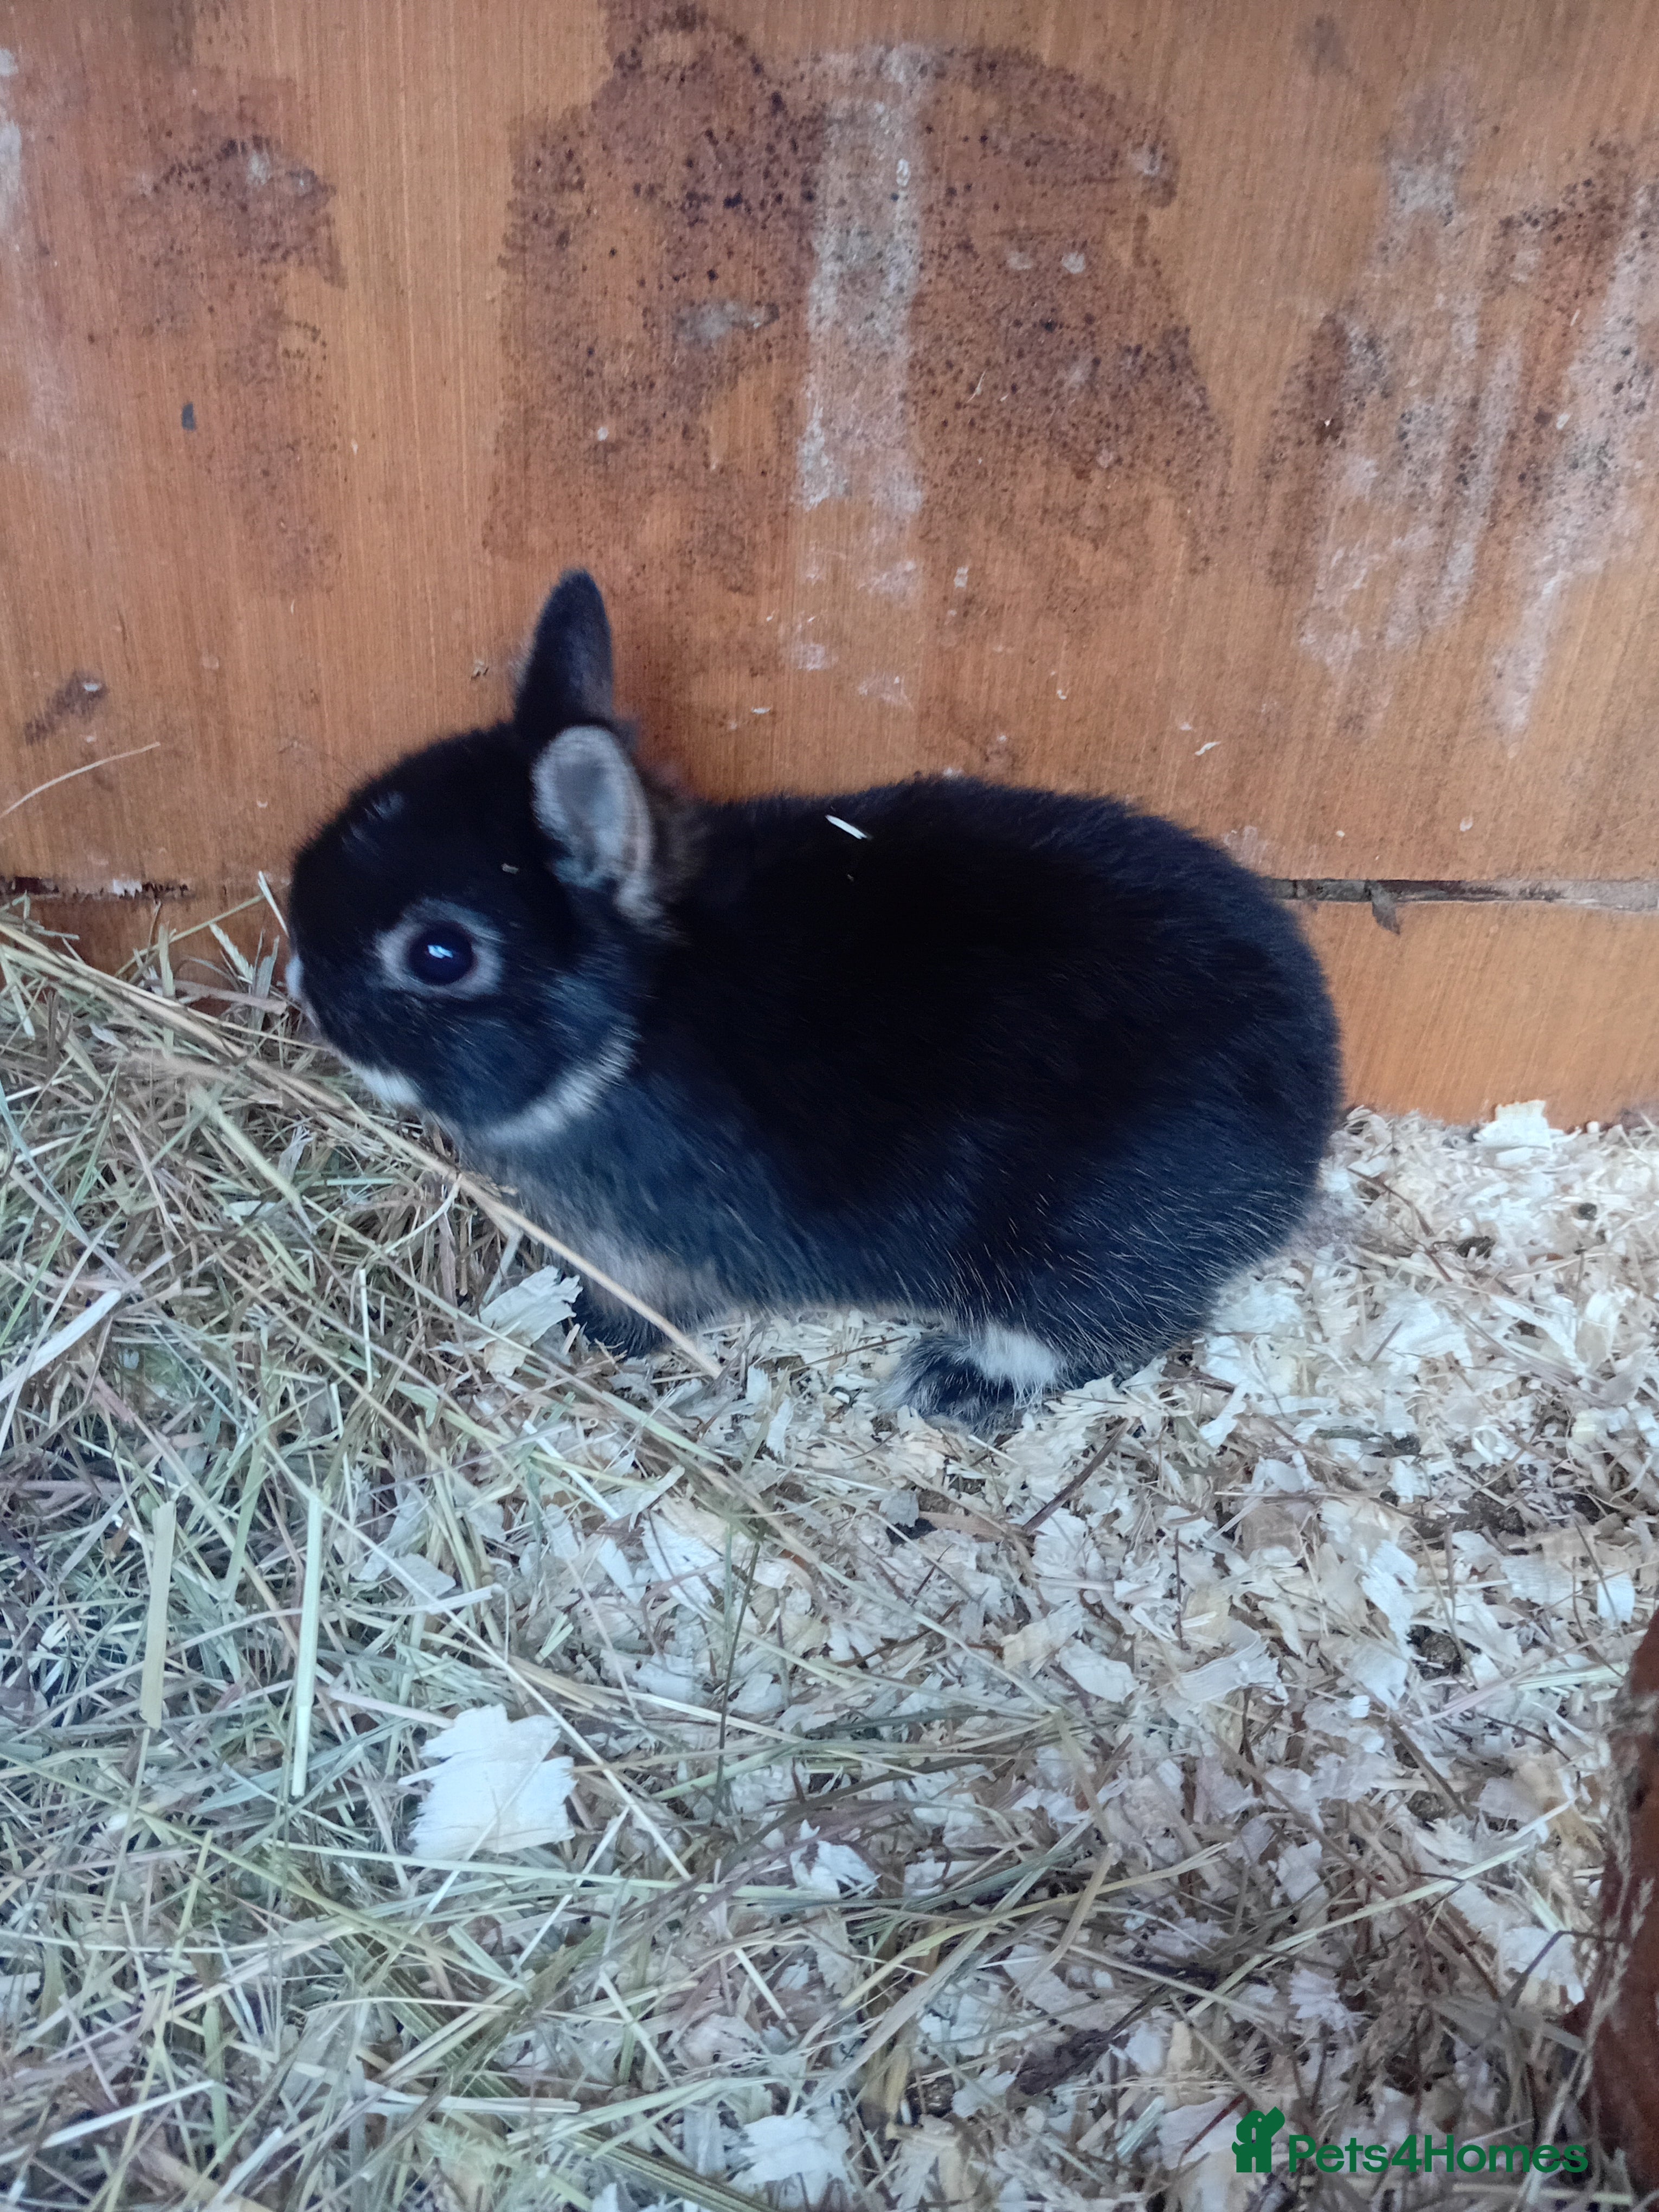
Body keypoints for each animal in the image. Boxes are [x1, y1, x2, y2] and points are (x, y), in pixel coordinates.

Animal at [287, 570, 1342, 1432]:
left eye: (441, 953)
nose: (302, 987)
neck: (634, 1020)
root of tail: (1311, 1116)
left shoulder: (644, 1248)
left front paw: (585, 1331)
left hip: (1077, 1241)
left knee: (1109, 1327)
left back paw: (948, 1380)